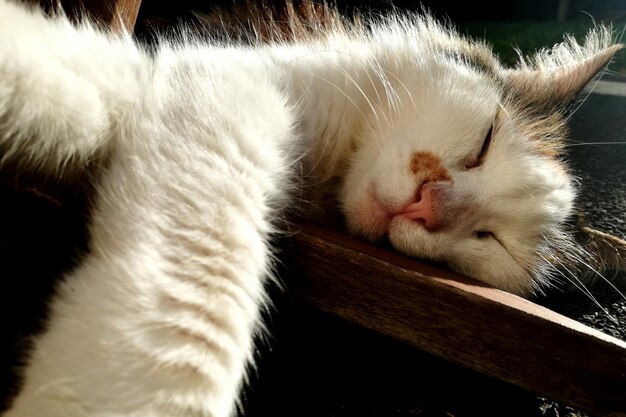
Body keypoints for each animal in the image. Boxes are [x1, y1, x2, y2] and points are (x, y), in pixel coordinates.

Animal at [1, 0, 624, 414]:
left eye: (486, 238)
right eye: (486, 141)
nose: (428, 205)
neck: (324, 177)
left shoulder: (189, 85)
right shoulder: (230, 79)